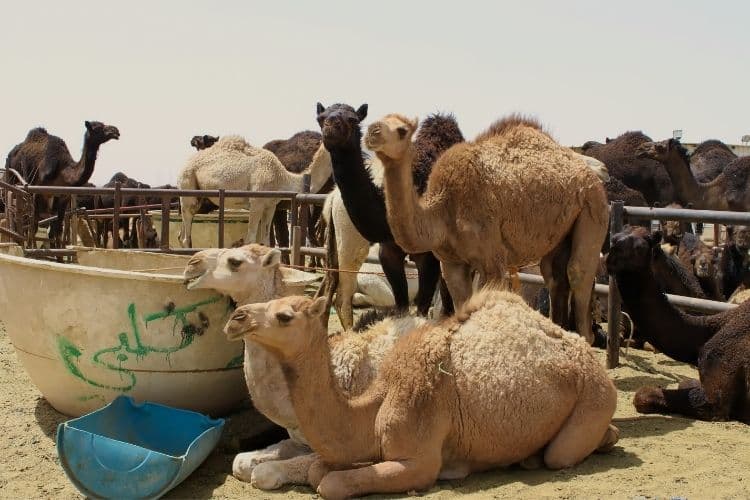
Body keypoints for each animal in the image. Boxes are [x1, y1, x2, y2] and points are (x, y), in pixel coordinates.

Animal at [177, 135, 331, 248]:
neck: (281, 177)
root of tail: (184, 165)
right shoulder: (256, 202)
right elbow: (250, 239)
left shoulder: (270, 206)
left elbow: (266, 241)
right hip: (187, 183)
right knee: (186, 230)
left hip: (196, 195)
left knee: (183, 229)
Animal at [224, 289, 619, 499]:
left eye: (285, 315)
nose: (237, 317)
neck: (374, 405)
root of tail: (585, 350)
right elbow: (318, 468)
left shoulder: (419, 461)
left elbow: (330, 483)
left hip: (594, 398)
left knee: (568, 451)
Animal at [316, 103, 460, 320]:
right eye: (321, 117)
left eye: (353, 119)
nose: (331, 127)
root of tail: (331, 199)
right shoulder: (389, 252)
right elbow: (402, 306)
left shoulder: (428, 254)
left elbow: (421, 307)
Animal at [367, 113, 608, 343]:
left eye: (402, 130)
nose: (372, 132)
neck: (444, 208)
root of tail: (595, 175)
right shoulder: (451, 263)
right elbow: (462, 304)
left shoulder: (491, 259)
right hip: (560, 232)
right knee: (553, 275)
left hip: (593, 207)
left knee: (577, 271)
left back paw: (586, 337)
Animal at [607, 226, 750, 423]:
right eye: (614, 238)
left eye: (640, 246)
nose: (611, 256)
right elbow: (684, 381)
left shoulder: (715, 400)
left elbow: (642, 394)